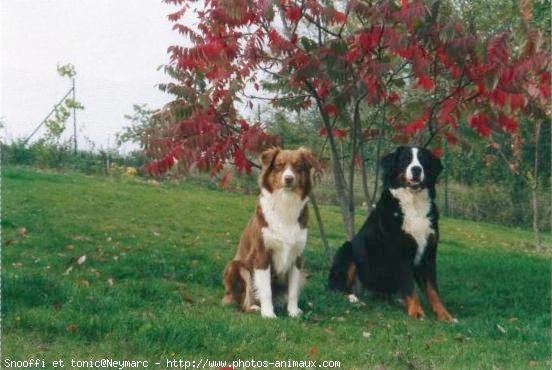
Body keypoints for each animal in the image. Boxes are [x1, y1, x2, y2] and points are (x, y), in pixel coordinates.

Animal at [223, 147, 314, 318]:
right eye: (279, 165)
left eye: (298, 167)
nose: (289, 179)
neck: (286, 203)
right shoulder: (262, 254)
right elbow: (265, 289)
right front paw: (268, 314)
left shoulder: (297, 257)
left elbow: (293, 291)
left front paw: (293, 311)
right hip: (236, 266)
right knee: (244, 299)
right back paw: (253, 307)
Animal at [330, 145, 454, 320]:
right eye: (405, 159)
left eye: (423, 160)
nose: (416, 169)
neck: (414, 205)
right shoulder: (400, 253)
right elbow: (409, 286)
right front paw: (416, 312)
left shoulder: (428, 255)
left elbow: (433, 290)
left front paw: (445, 315)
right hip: (347, 250)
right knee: (337, 287)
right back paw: (355, 299)